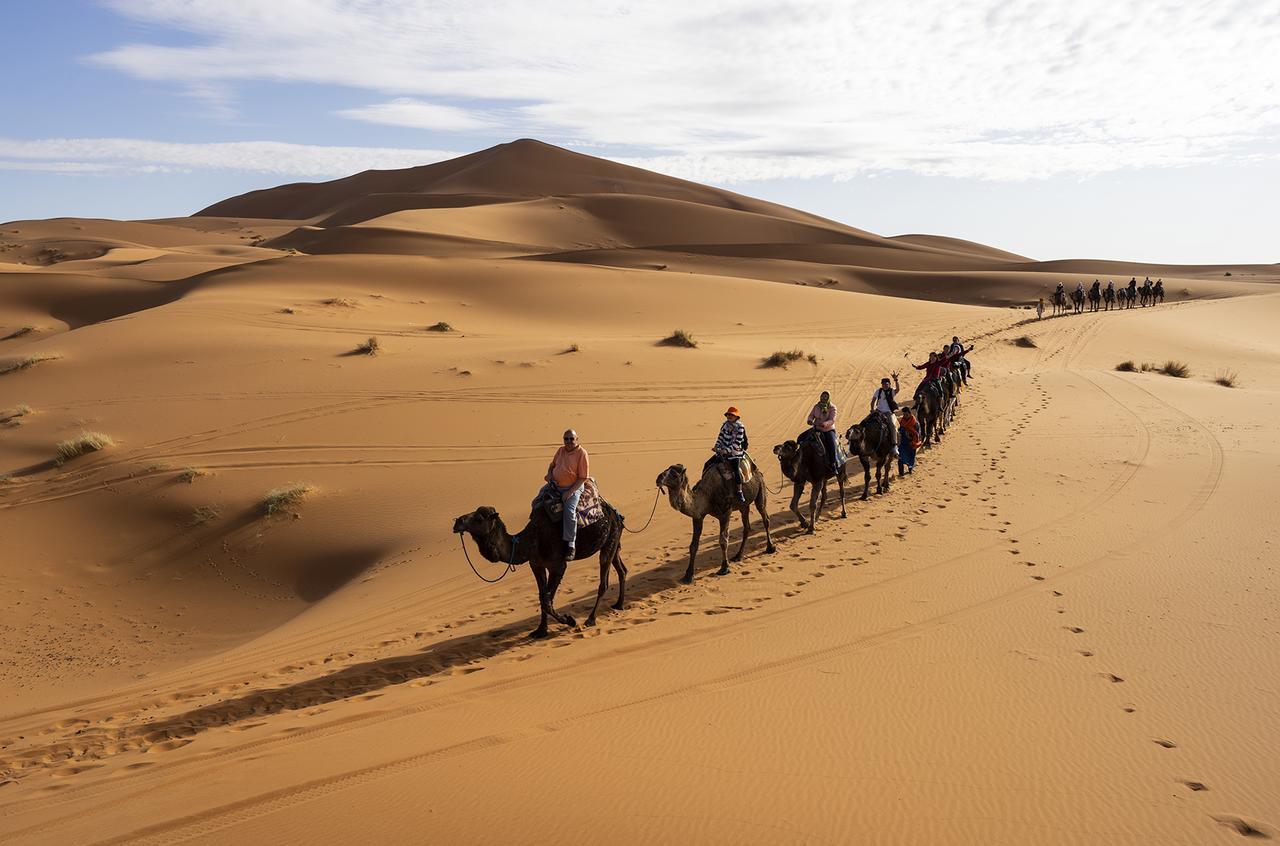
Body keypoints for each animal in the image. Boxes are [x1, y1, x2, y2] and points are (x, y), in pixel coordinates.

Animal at [453, 501, 627, 634]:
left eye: (479, 518)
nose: (457, 522)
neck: (531, 541)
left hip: (609, 539)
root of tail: (616, 513)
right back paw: (619, 604)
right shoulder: (536, 565)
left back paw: (591, 619)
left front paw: (569, 620)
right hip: (613, 540)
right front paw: (541, 630)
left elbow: (546, 600)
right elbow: (542, 597)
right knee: (622, 570)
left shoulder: (558, 566)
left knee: (603, 582)